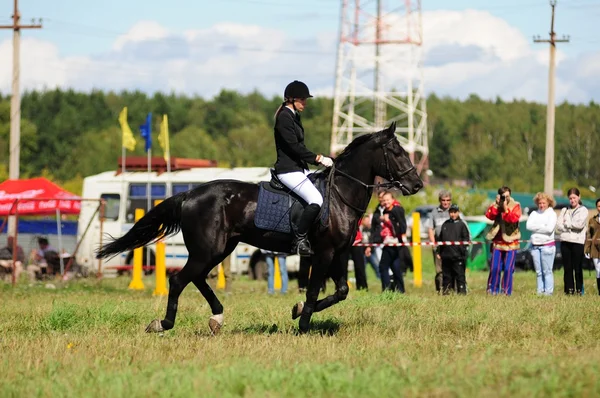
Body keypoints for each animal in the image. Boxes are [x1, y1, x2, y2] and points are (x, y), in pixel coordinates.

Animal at [96, 123, 422, 334]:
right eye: (396, 152)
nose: (417, 184)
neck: (341, 194)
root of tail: (189, 195)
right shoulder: (323, 253)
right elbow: (314, 289)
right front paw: (303, 323)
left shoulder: (340, 254)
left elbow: (341, 291)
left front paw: (297, 310)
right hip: (208, 250)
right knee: (178, 281)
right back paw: (163, 324)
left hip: (218, 249)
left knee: (197, 278)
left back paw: (217, 319)